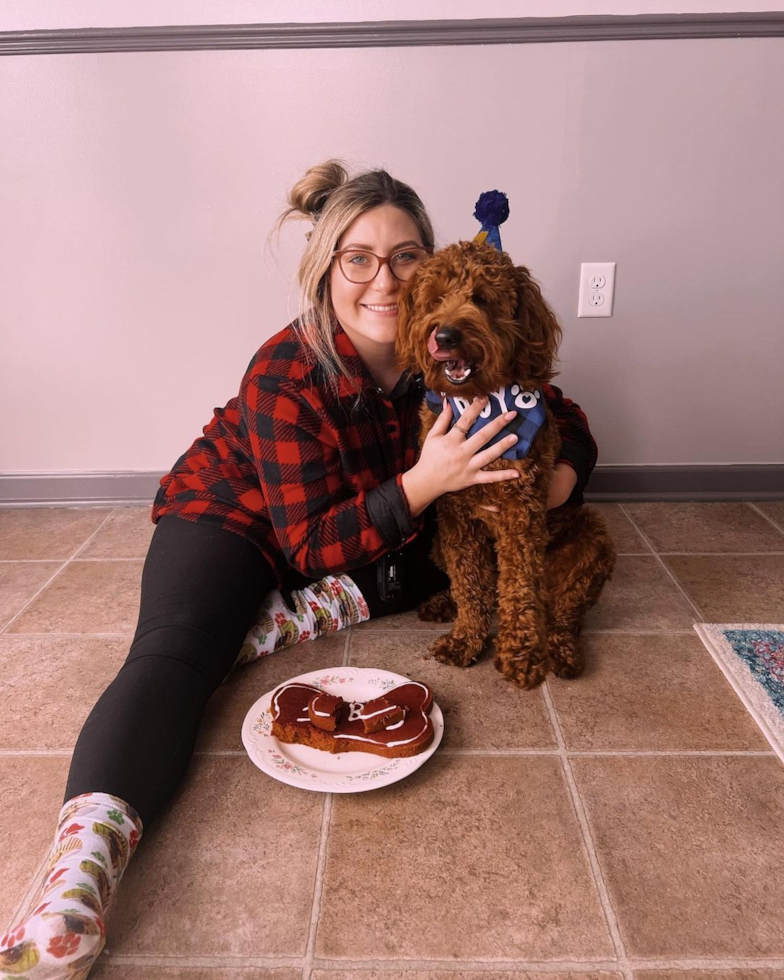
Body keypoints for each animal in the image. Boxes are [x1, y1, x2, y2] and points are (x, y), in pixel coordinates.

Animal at [402, 241, 616, 688]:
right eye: (436, 299)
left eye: (482, 299)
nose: (444, 336)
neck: (479, 403)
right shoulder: (456, 514)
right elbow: (470, 583)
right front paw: (467, 639)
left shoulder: (522, 512)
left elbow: (518, 588)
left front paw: (521, 654)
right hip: (437, 543)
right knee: (481, 589)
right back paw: (444, 603)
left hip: (589, 541)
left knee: (560, 612)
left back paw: (559, 649)